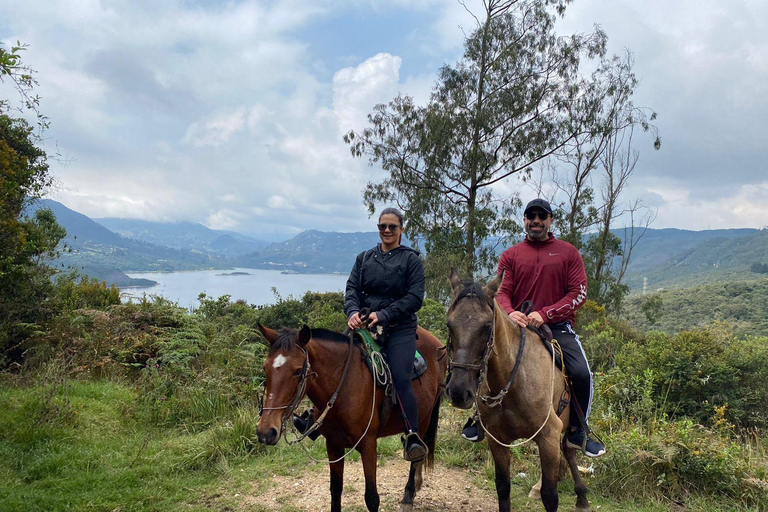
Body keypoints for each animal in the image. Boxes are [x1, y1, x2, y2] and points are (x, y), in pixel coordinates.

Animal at [255, 324, 448, 512]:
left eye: (297, 371)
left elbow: (372, 498)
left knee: (416, 454)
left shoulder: (368, 445)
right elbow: (335, 491)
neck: (343, 386)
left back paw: (408, 495)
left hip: (423, 419)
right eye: (265, 368)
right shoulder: (333, 445)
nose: (265, 432)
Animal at [440, 270, 592, 510]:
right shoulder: (497, 440)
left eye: (487, 326)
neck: (513, 381)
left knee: (569, 448)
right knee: (567, 451)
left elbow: (550, 495)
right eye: (449, 325)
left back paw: (582, 496)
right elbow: (503, 488)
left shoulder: (548, 436)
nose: (458, 392)